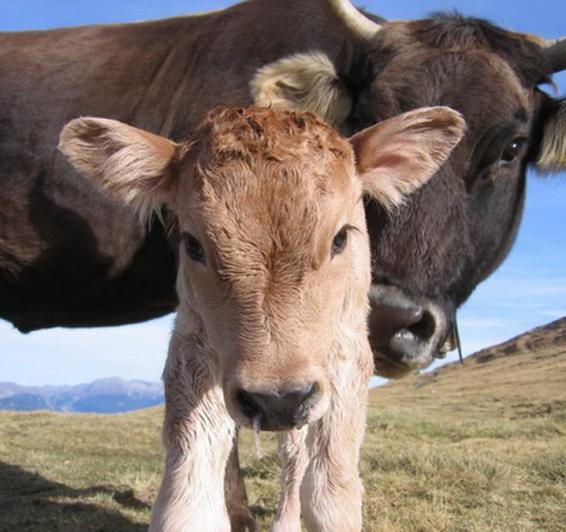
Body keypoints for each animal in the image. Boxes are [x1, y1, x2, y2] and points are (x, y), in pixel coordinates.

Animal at [57, 106, 466, 528]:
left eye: (340, 238)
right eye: (192, 244)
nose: (276, 401)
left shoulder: (348, 352)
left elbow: (331, 494)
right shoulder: (191, 347)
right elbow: (187, 500)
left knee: (295, 455)